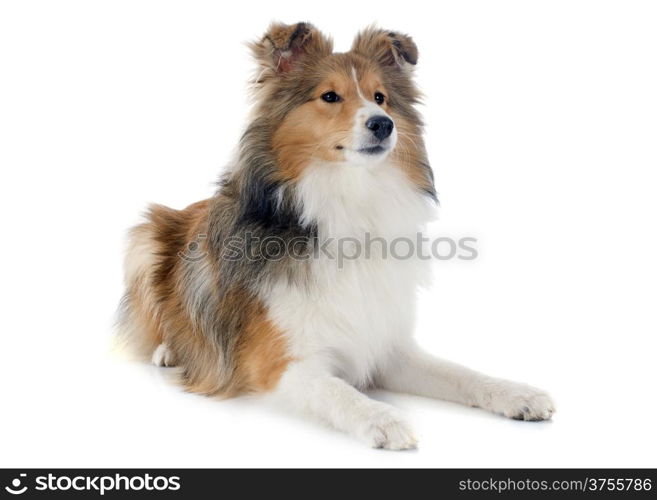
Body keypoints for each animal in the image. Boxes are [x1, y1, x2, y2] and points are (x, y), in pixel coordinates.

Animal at [118, 21, 552, 450]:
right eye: (329, 96)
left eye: (380, 97)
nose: (383, 123)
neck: (350, 199)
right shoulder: (278, 362)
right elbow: (338, 392)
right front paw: (385, 418)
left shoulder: (387, 345)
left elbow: (460, 373)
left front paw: (518, 393)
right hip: (144, 239)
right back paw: (168, 351)